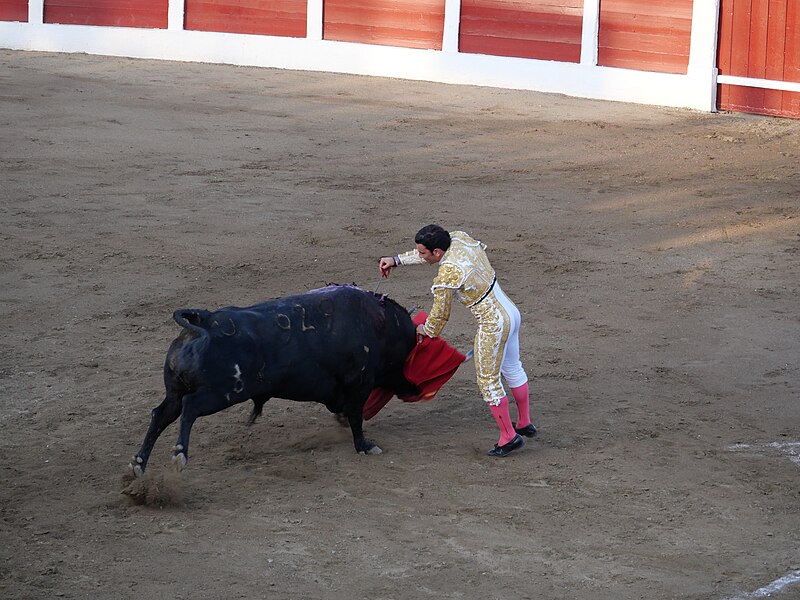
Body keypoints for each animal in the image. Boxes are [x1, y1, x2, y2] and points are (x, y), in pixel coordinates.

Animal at [128, 286, 416, 478]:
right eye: (408, 356)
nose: (414, 389)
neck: (381, 325)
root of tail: (206, 321)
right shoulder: (359, 383)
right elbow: (356, 416)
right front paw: (365, 446)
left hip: (176, 392)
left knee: (161, 415)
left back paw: (138, 464)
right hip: (222, 393)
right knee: (190, 408)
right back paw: (179, 455)